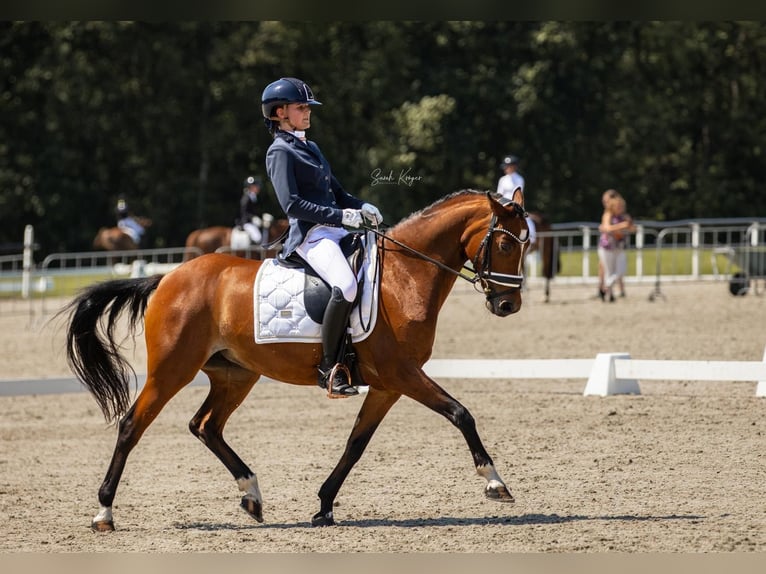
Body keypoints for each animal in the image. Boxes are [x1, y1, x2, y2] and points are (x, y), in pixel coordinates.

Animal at [60, 191, 532, 532]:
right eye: (505, 242)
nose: (509, 305)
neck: (405, 277)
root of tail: (167, 278)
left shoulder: (387, 385)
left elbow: (356, 444)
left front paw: (324, 506)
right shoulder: (403, 374)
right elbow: (461, 413)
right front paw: (495, 482)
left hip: (236, 374)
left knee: (206, 426)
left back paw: (252, 496)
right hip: (171, 371)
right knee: (131, 427)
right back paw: (103, 514)